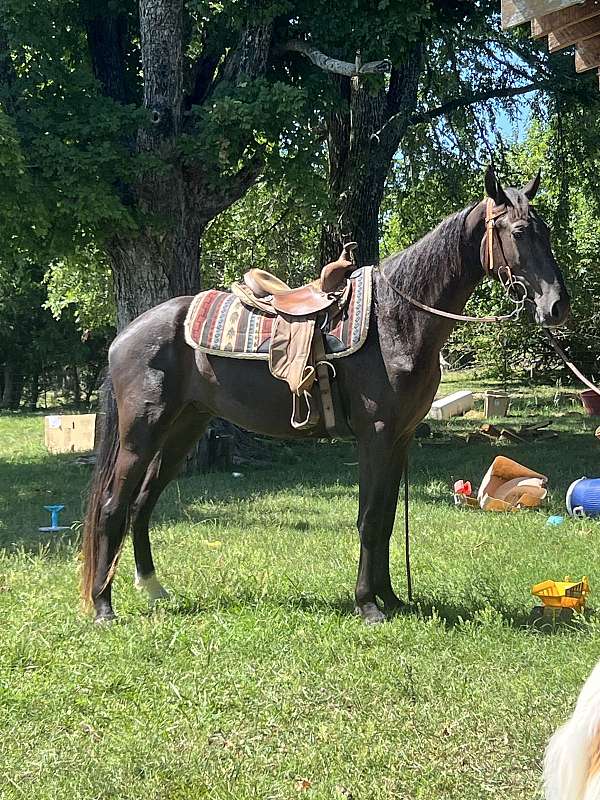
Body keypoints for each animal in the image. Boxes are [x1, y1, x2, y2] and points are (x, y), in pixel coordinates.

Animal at [82, 169, 568, 624]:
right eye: (519, 232)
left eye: (546, 230)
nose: (557, 306)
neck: (396, 320)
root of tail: (124, 337)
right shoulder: (375, 437)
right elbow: (369, 519)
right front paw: (368, 605)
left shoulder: (399, 440)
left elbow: (386, 519)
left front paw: (391, 598)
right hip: (141, 433)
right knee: (113, 505)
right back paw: (104, 607)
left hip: (183, 429)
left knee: (142, 504)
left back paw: (153, 590)